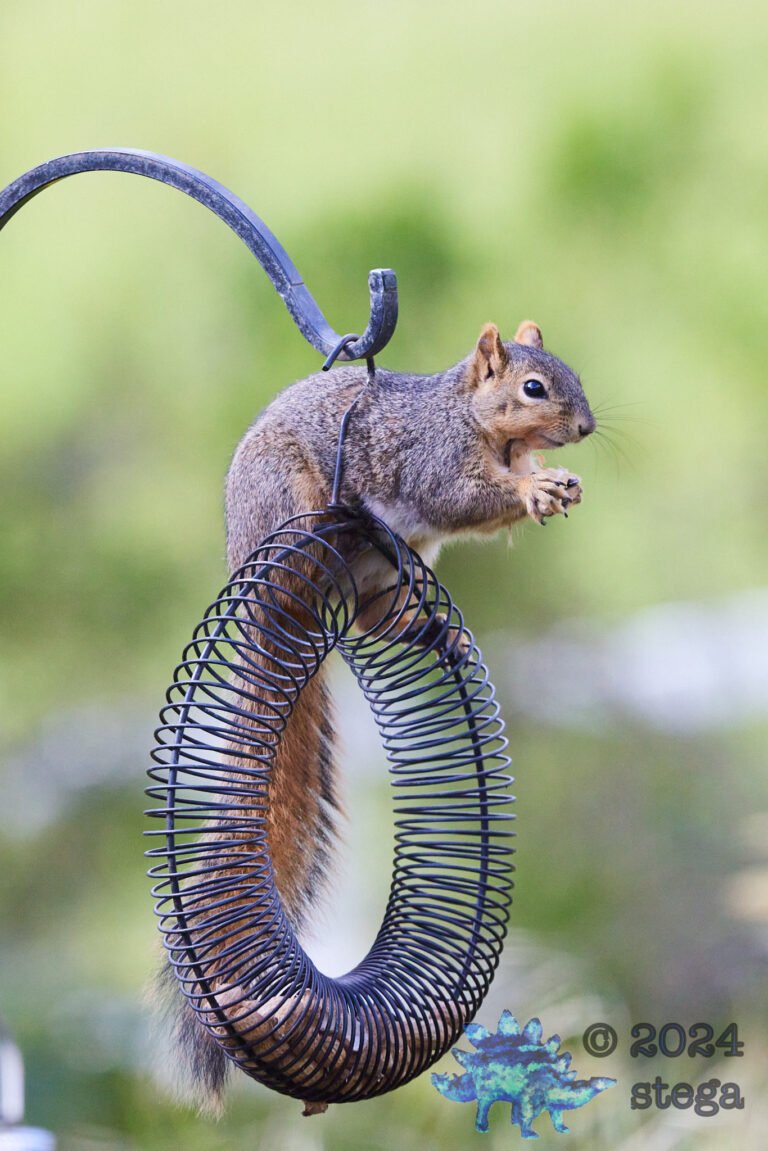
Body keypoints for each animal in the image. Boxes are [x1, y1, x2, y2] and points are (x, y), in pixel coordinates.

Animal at [168, 318, 596, 1108]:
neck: (474, 421)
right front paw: (535, 486)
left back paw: (438, 634)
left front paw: (554, 482)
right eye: (533, 387)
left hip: (386, 574)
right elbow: (464, 495)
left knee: (375, 619)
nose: (584, 429)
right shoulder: (435, 464)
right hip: (294, 508)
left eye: (571, 374)